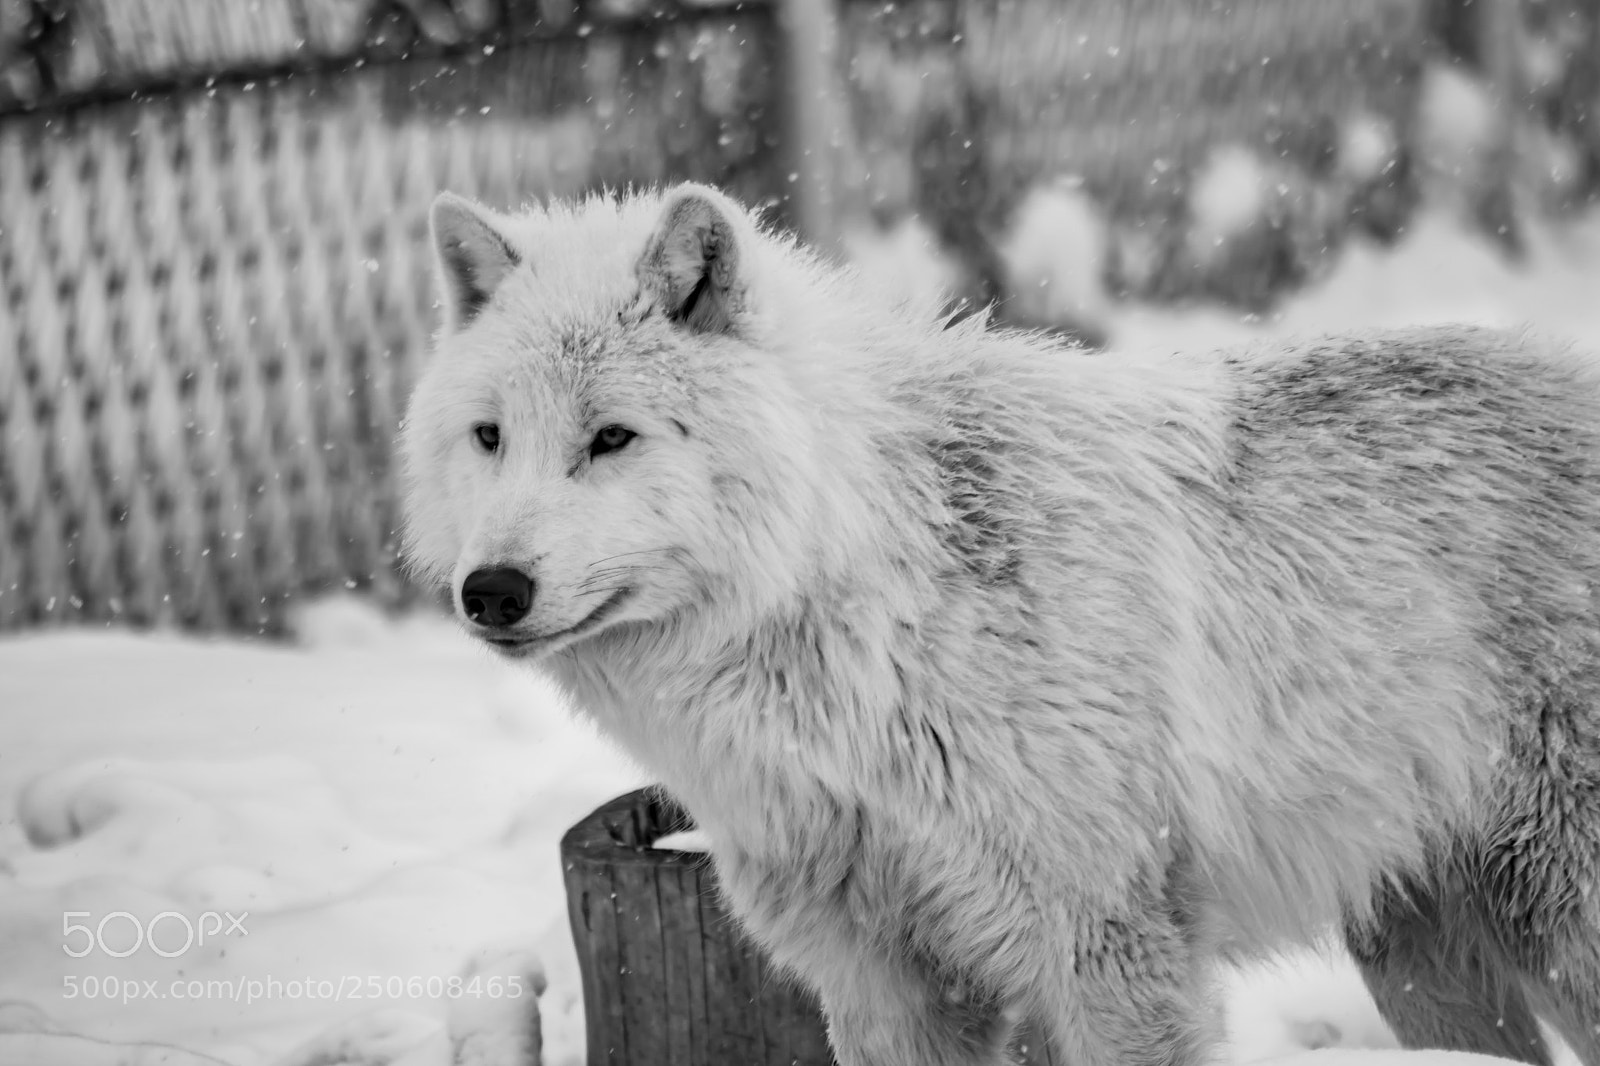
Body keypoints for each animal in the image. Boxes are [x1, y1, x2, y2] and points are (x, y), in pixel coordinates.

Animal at [400, 181, 1600, 1066]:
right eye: (491, 437)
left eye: (611, 437)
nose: (491, 590)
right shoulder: (881, 983)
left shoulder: (1110, 954)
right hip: (1419, 961)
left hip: (1553, 927)